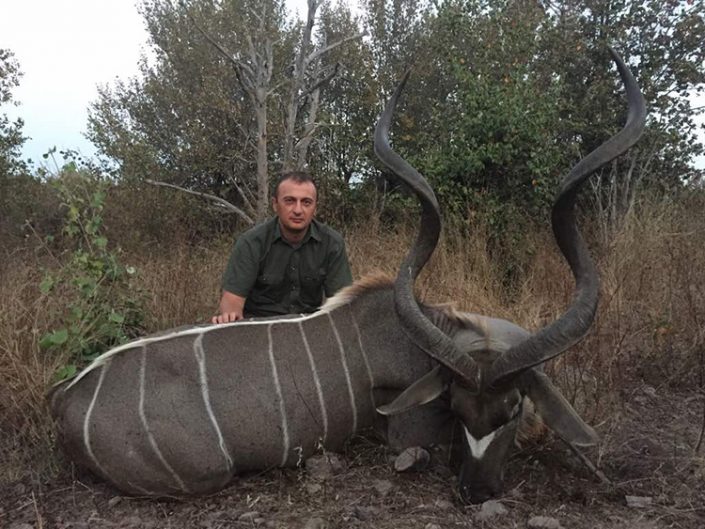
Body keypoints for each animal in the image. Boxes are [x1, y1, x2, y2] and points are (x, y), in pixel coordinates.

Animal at [49, 48, 645, 503]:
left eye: (512, 407)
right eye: (455, 407)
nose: (474, 492)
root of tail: (65, 401)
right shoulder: (406, 428)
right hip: (207, 474)